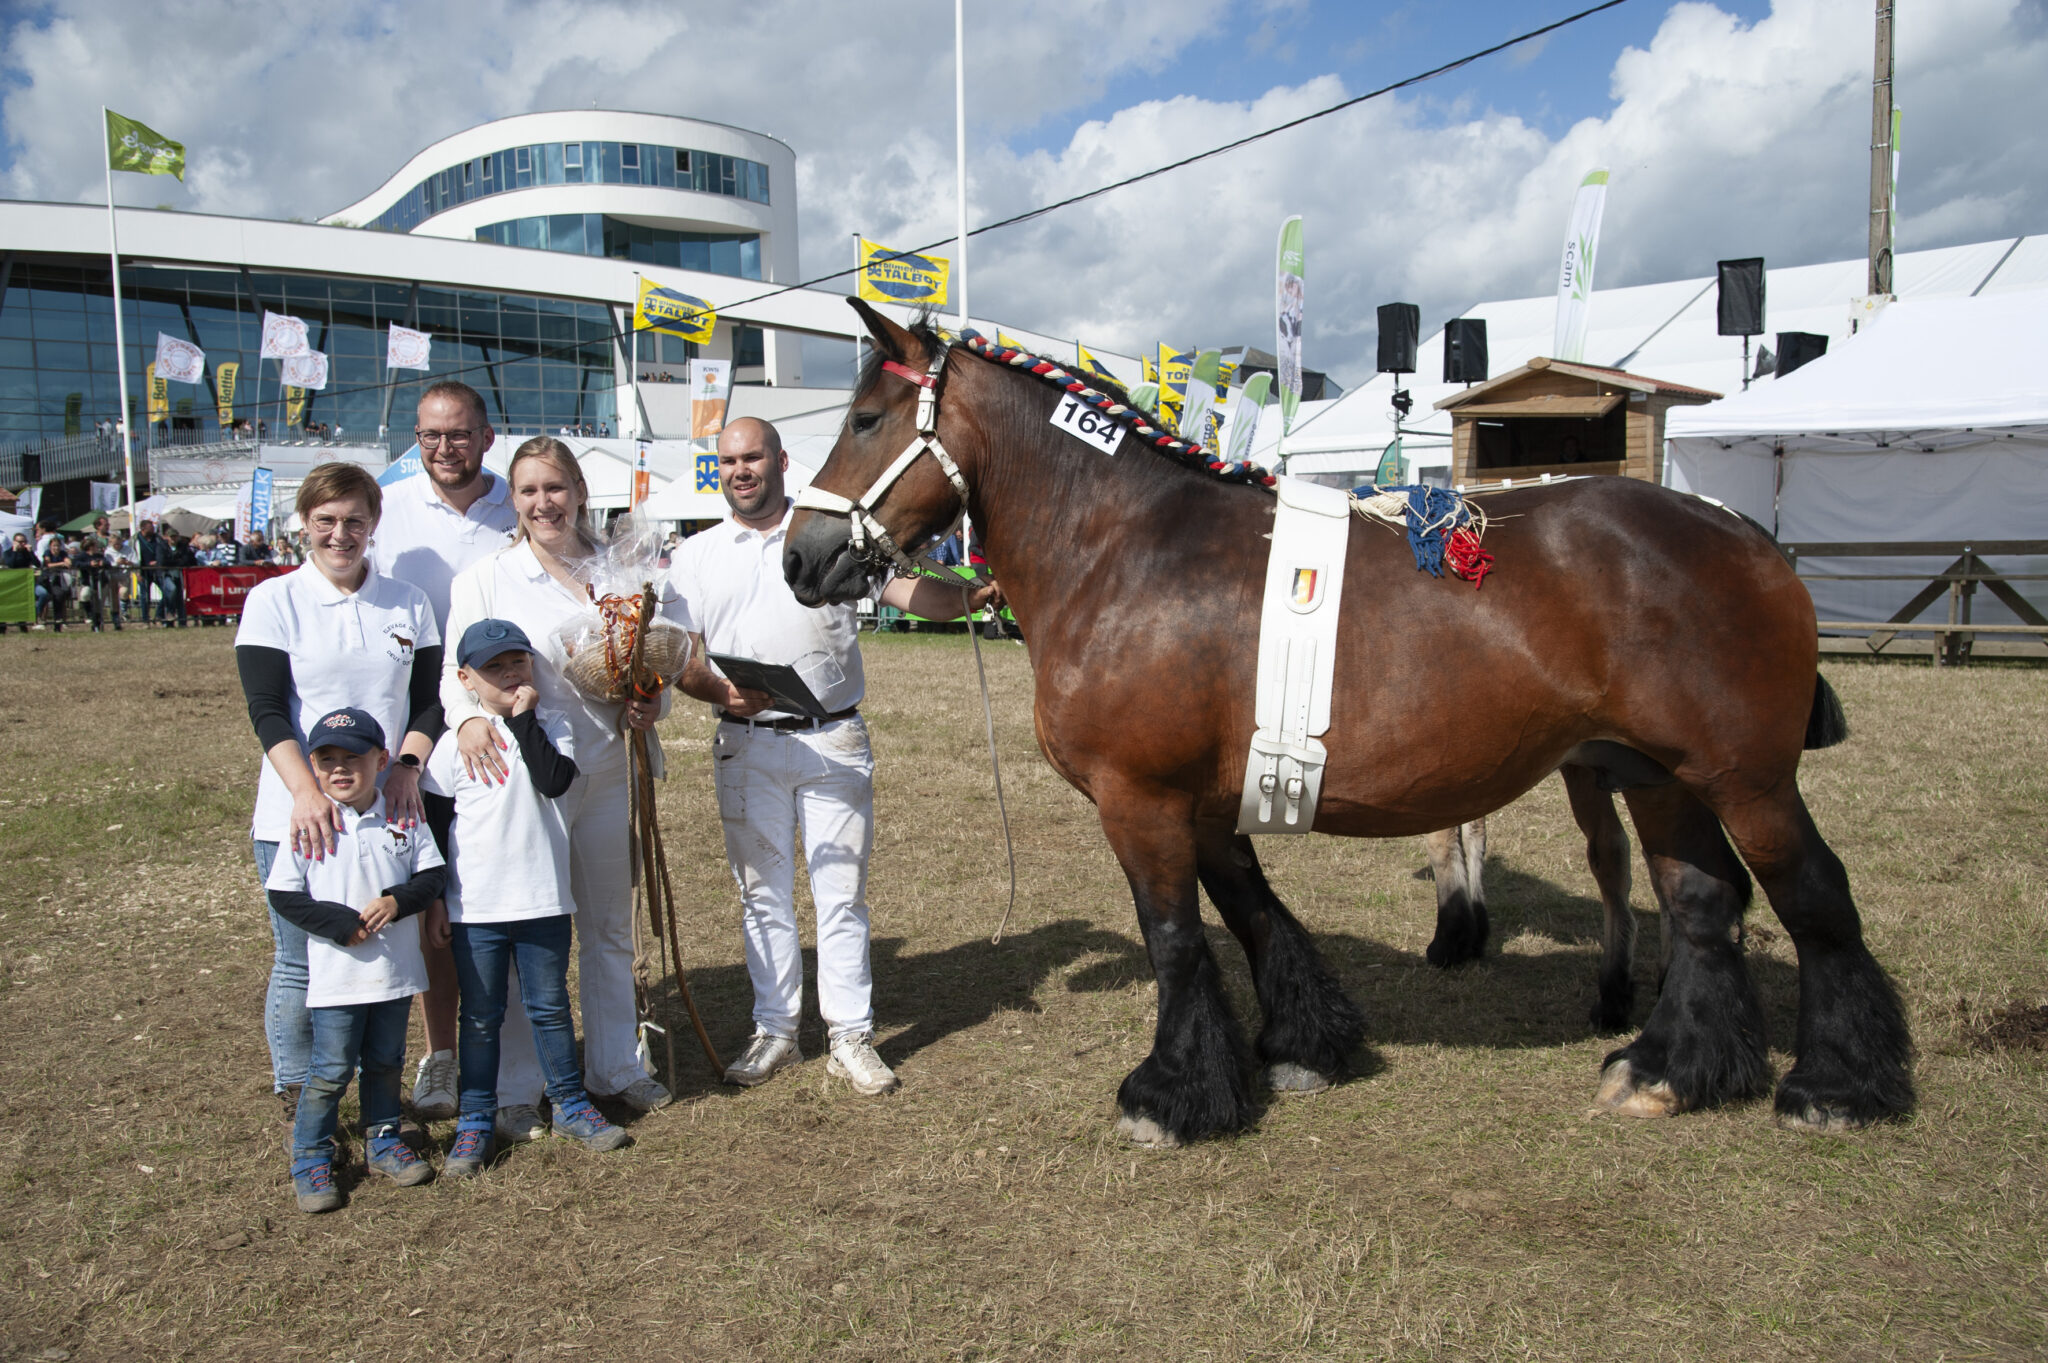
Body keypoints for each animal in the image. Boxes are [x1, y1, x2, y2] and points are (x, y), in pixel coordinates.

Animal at [786, 302, 1916, 1137]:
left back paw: (1834, 1086)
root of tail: (1743, 533)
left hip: (1746, 780)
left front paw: (1173, 1094)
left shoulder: (1139, 799)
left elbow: (1174, 937)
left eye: (866, 421)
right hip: (1659, 777)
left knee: (1814, 898)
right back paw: (1670, 1067)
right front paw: (1302, 1045)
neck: (1127, 552)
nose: (800, 556)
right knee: (1703, 902)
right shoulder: (1207, 801)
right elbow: (1252, 913)